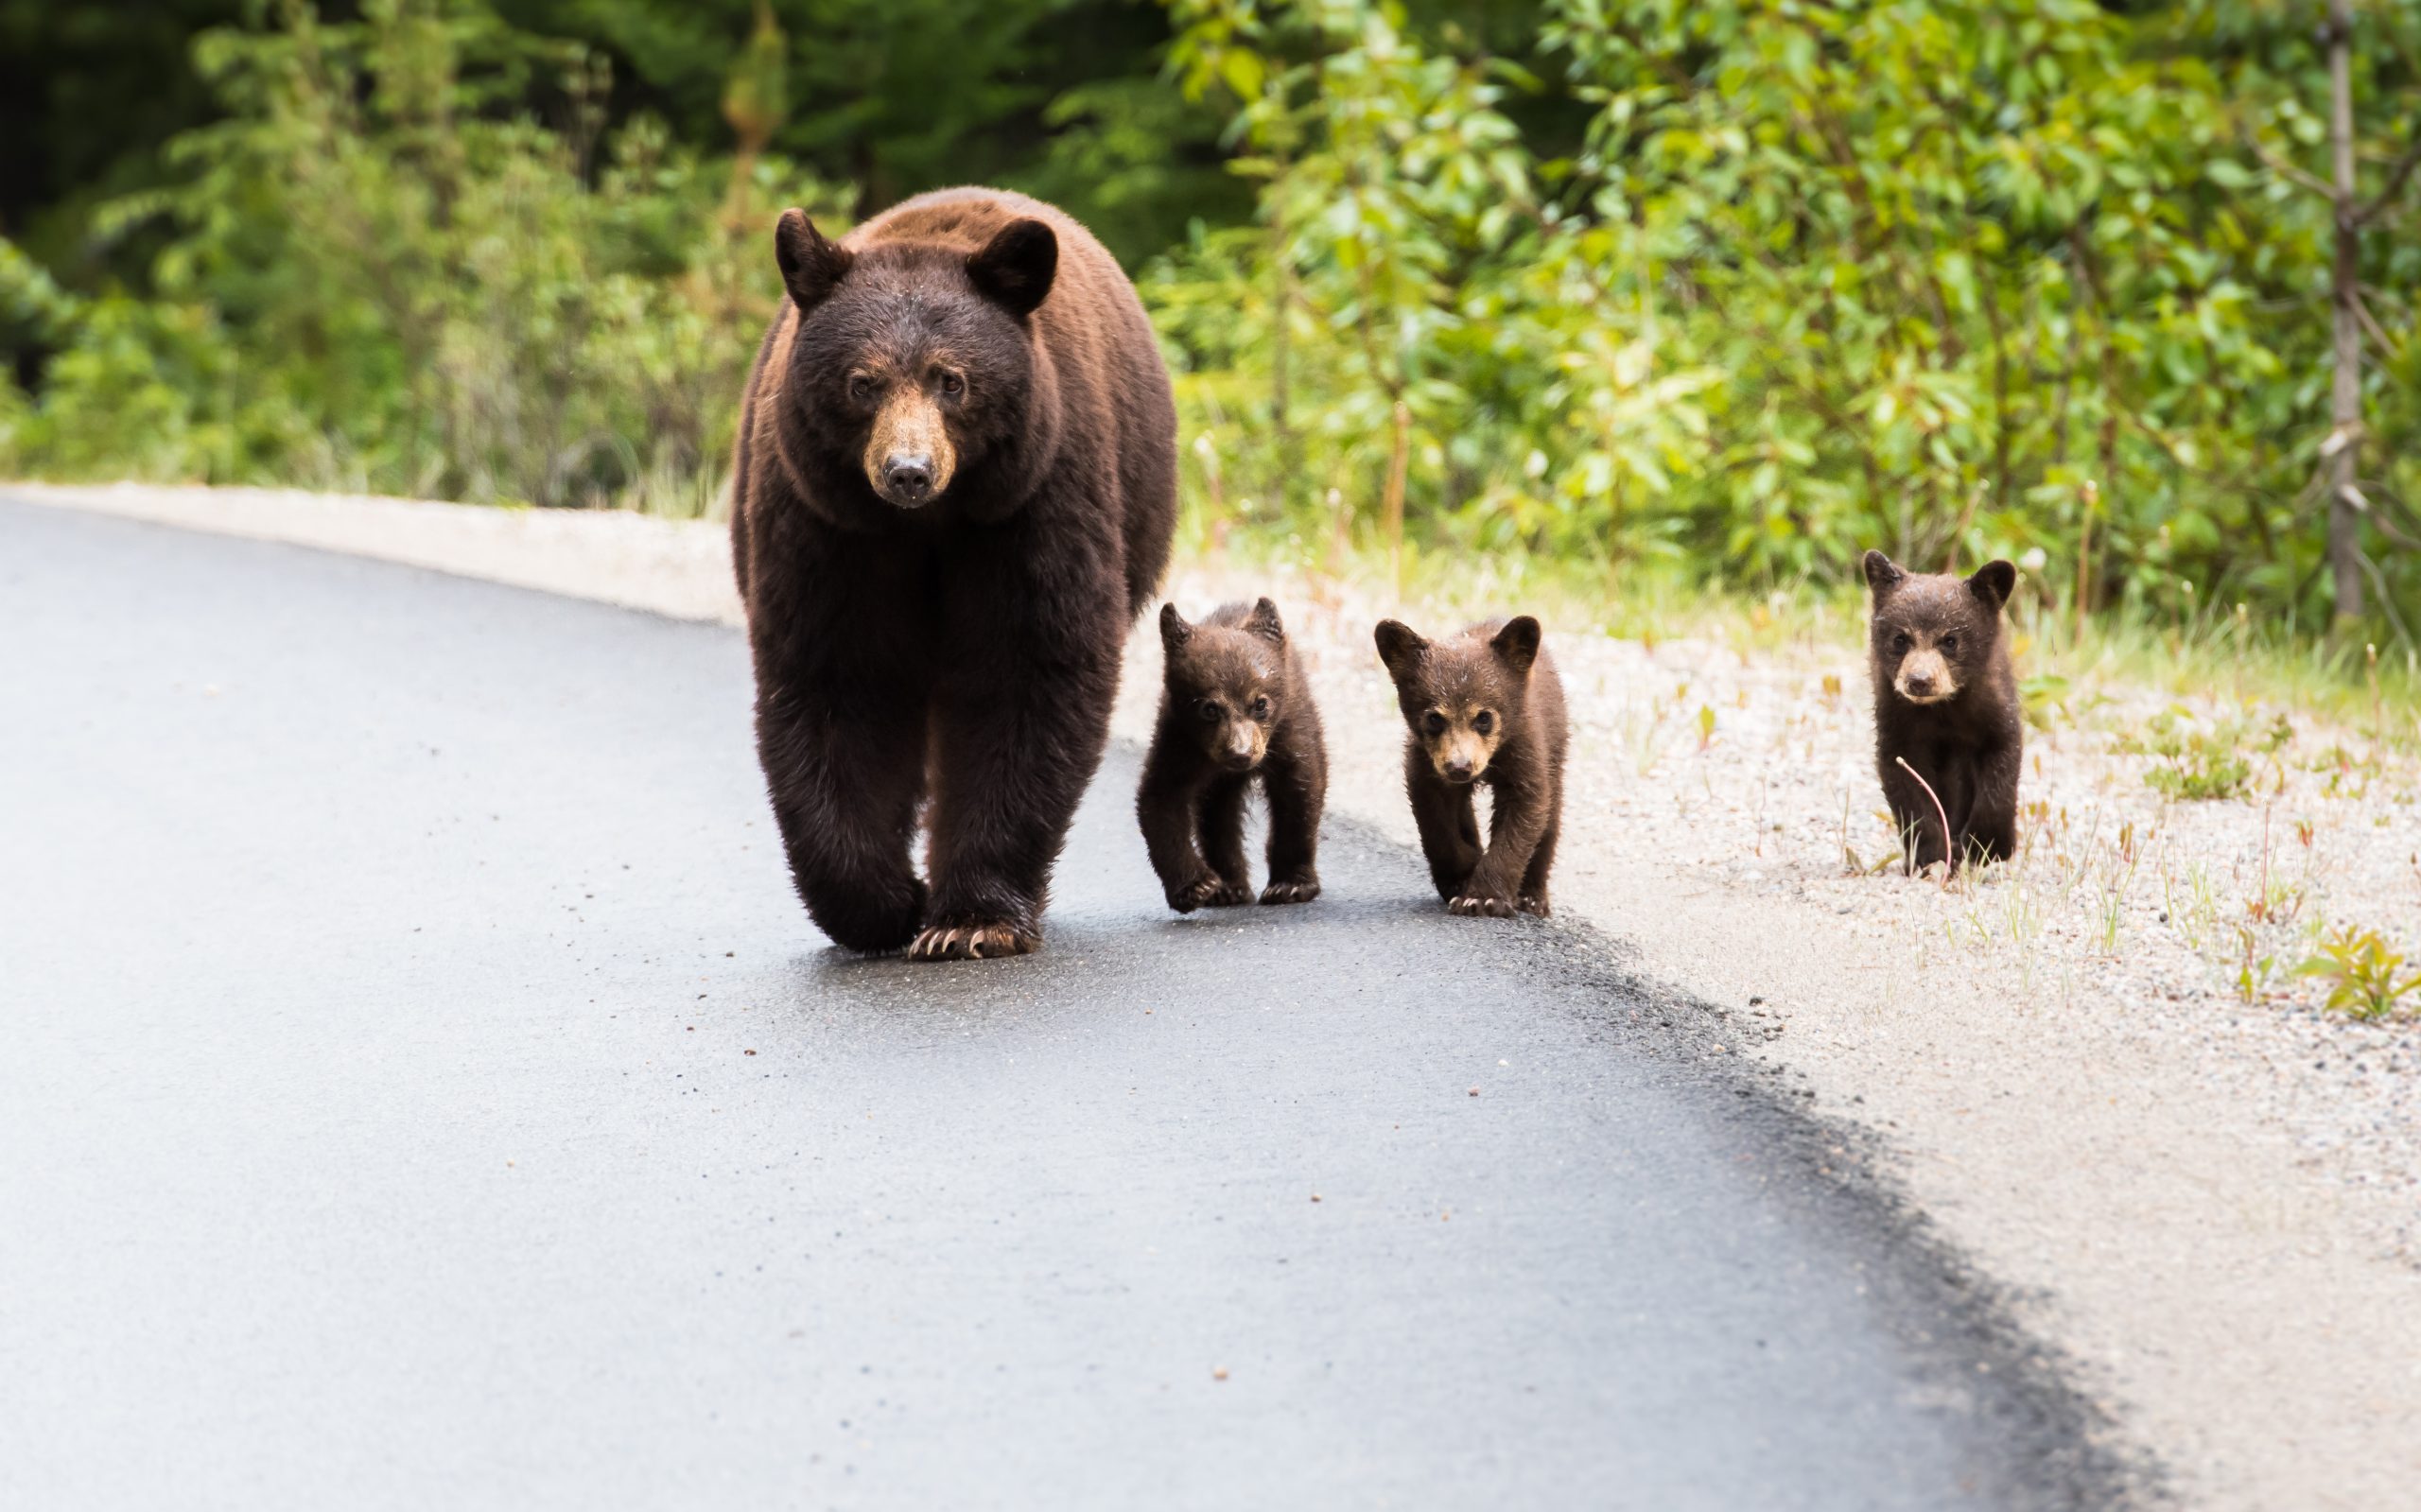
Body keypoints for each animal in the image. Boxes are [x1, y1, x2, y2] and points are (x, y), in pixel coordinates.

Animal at [731, 188, 1176, 963]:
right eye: (863, 382)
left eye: (952, 380)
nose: (908, 471)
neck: (929, 526)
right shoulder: (828, 527)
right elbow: (838, 677)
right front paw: (884, 904)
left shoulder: (1034, 503)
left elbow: (1027, 669)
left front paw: (970, 918)